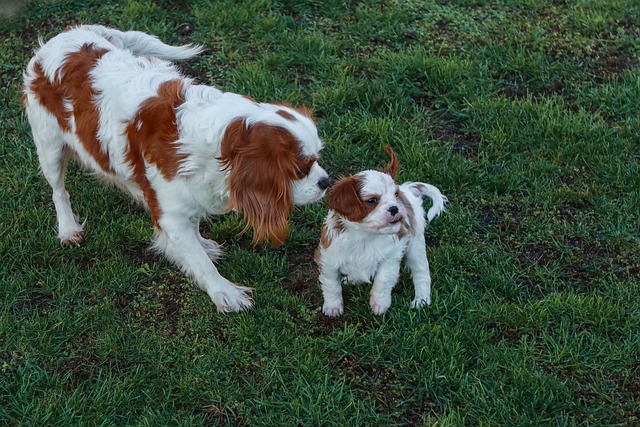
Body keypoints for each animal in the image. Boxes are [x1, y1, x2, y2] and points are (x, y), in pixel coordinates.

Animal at [22, 25, 330, 314]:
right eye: (301, 169)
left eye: (317, 159)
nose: (326, 182)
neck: (213, 147)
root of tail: (67, 33)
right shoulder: (169, 211)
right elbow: (199, 261)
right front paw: (224, 292)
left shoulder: (187, 195)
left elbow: (192, 232)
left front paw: (200, 244)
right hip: (49, 145)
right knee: (58, 190)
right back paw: (68, 228)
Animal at [316, 147, 444, 318]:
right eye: (372, 201)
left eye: (395, 195)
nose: (395, 208)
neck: (364, 235)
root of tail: (407, 190)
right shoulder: (328, 259)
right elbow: (331, 285)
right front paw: (333, 307)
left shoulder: (391, 256)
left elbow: (382, 280)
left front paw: (379, 304)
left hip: (415, 245)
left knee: (421, 273)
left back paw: (421, 300)